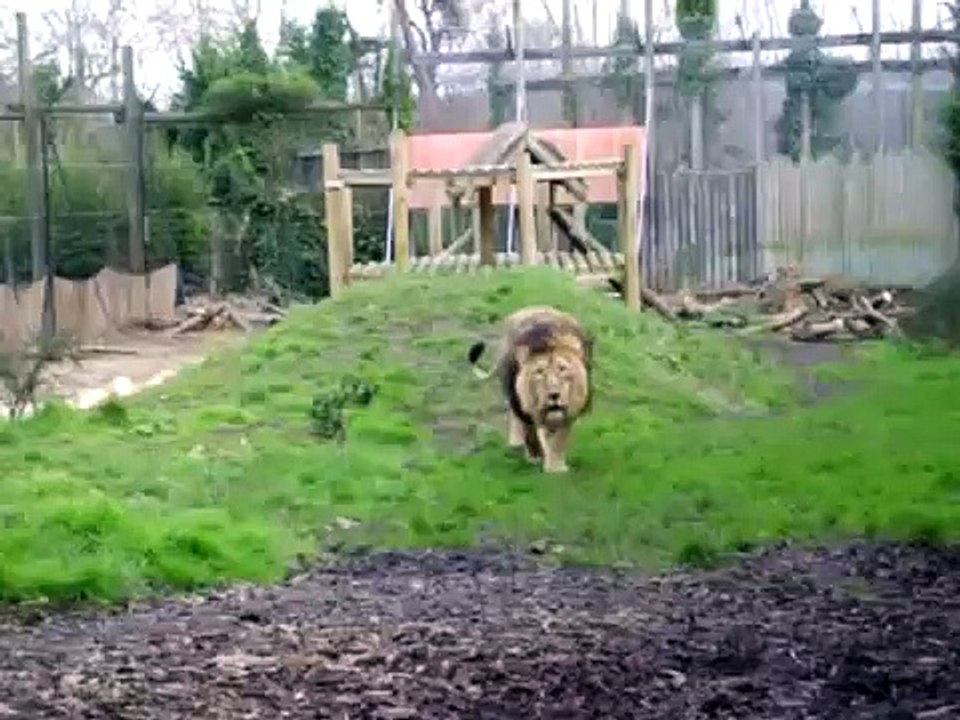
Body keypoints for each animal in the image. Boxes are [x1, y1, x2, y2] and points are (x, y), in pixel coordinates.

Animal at [467, 305, 593, 473]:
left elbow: (560, 440)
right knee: (515, 418)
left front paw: (557, 468)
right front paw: (536, 457)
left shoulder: (569, 412)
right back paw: (517, 443)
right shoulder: (523, 407)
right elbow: (531, 433)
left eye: (562, 369)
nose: (554, 395)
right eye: (539, 372)